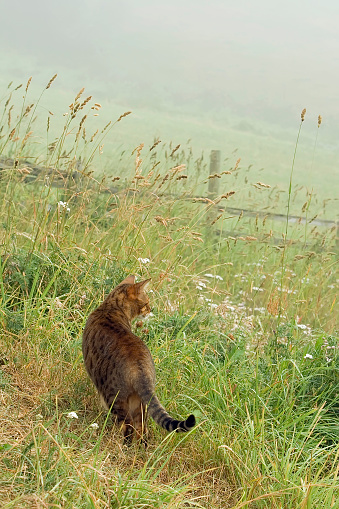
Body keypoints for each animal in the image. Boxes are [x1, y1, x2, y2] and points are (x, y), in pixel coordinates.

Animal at [82, 274, 197, 444]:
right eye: (147, 302)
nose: (150, 309)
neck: (111, 307)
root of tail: (140, 369)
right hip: (141, 403)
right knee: (142, 428)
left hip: (115, 399)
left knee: (127, 425)